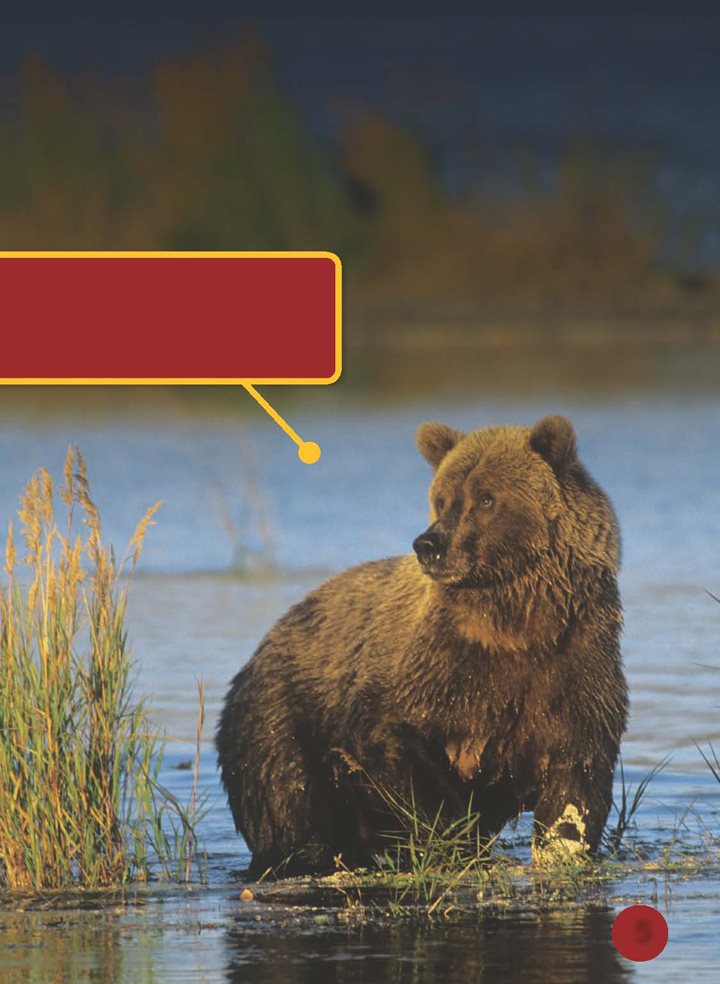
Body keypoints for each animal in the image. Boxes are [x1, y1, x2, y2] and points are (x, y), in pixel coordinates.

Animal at [217, 412, 628, 872]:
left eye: (486, 498)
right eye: (443, 499)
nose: (429, 544)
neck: (518, 623)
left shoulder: (574, 669)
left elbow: (575, 783)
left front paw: (560, 848)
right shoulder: (436, 672)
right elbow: (397, 751)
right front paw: (453, 839)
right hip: (279, 721)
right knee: (290, 803)